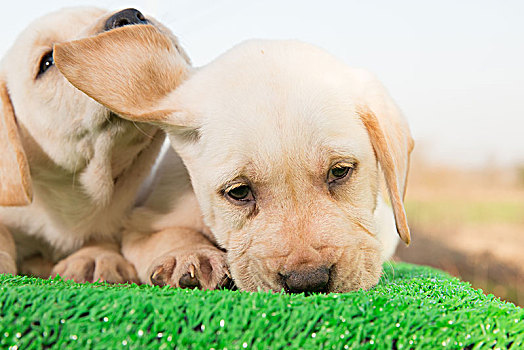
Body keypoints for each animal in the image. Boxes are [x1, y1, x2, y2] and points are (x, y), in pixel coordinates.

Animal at [54, 25, 414, 292]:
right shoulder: (144, 222)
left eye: (340, 172)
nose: (307, 282)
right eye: (239, 192)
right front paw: (190, 255)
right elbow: (169, 234)